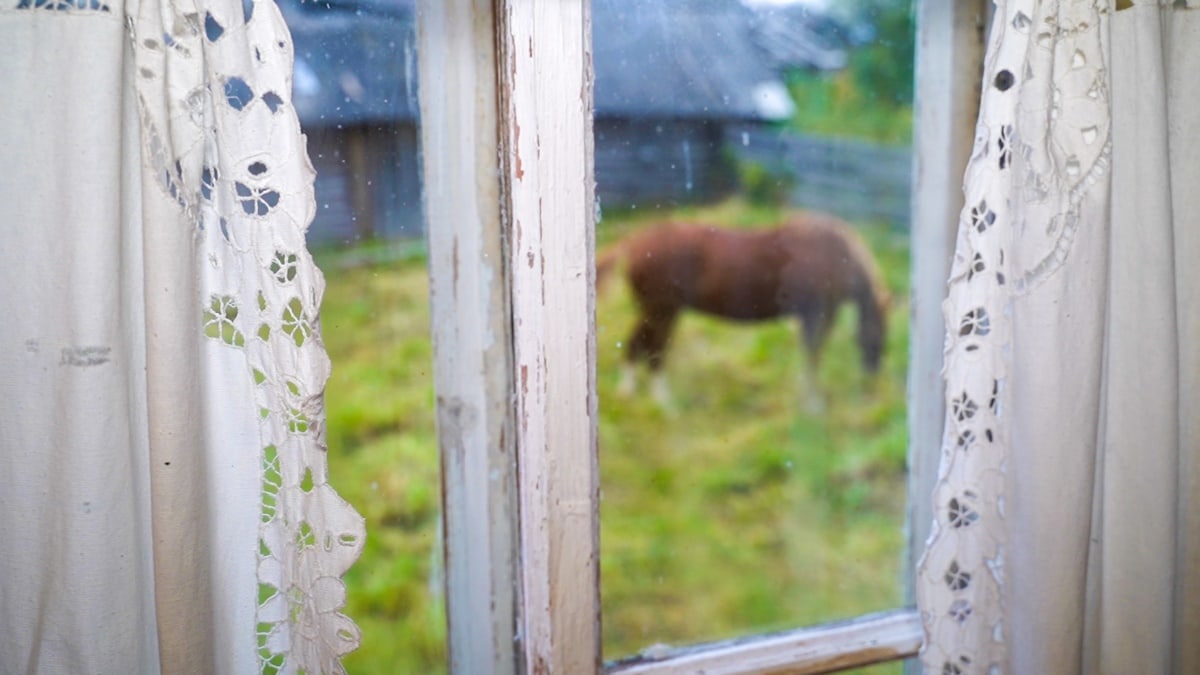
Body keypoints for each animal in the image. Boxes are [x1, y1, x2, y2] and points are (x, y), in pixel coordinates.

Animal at [600, 212, 892, 408]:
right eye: (879, 339)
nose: (871, 390)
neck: (833, 253)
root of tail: (634, 241)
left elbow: (812, 354)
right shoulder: (814, 315)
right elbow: (813, 355)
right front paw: (813, 405)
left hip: (657, 311)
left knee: (638, 344)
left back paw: (629, 393)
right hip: (661, 311)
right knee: (653, 350)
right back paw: (665, 404)